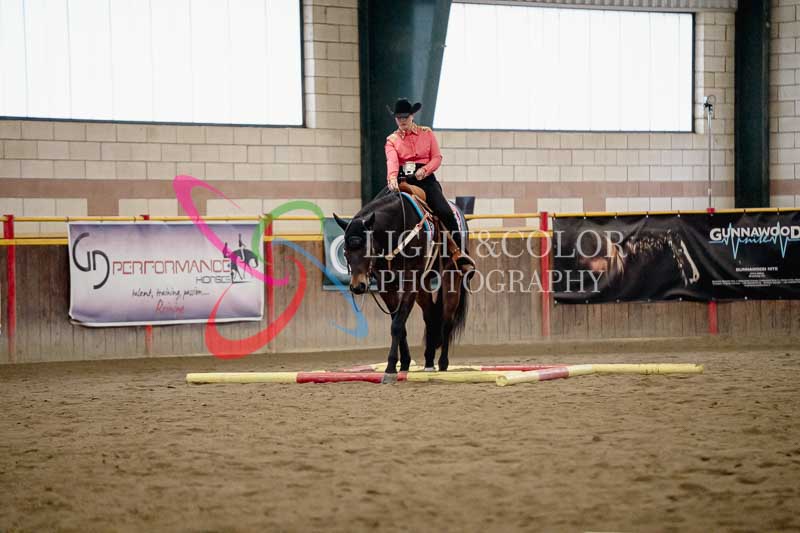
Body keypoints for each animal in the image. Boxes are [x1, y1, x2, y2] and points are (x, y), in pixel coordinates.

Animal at [333, 192, 470, 383]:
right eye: (345, 251)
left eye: (367, 249)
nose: (358, 286)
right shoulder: (386, 286)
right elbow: (399, 324)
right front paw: (404, 363)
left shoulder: (410, 282)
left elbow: (397, 324)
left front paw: (390, 368)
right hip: (423, 286)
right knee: (430, 316)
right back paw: (429, 361)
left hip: (451, 278)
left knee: (447, 319)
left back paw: (443, 363)